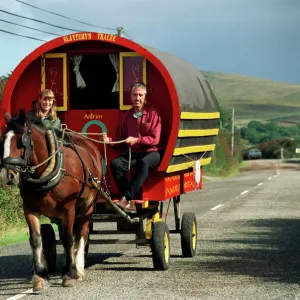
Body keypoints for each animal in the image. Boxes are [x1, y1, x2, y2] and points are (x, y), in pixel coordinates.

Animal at [0, 110, 103, 290]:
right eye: (3, 139)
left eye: (21, 141)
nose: (8, 176)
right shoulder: (30, 209)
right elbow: (36, 239)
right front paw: (40, 275)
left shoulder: (68, 210)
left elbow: (68, 239)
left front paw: (69, 273)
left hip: (87, 206)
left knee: (81, 233)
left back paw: (78, 268)